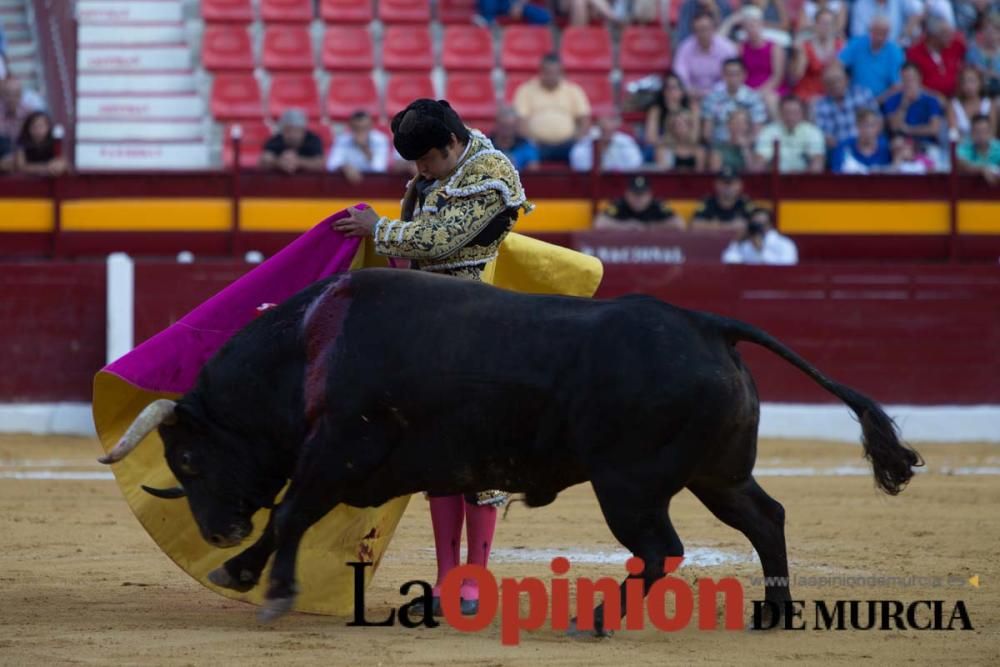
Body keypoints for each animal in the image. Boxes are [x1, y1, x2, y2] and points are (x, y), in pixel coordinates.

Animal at [99, 268, 920, 628]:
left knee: (663, 548)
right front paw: (242, 569)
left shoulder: (336, 451)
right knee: (764, 517)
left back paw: (593, 620)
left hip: (629, 485)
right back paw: (773, 613)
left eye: (188, 458)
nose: (217, 530)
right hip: (715, 473)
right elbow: (288, 517)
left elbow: (293, 513)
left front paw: (269, 589)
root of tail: (707, 322)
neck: (309, 347)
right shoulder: (341, 464)